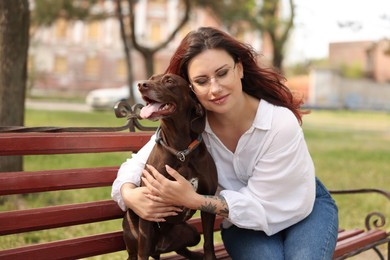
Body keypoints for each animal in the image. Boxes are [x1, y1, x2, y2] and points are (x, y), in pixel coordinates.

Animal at [122, 73, 219, 260]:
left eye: (169, 81)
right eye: (151, 78)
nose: (141, 85)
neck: (181, 150)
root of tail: (160, 247)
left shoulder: (208, 202)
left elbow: (209, 243)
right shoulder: (148, 208)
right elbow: (143, 252)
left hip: (191, 233)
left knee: (183, 248)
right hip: (132, 229)